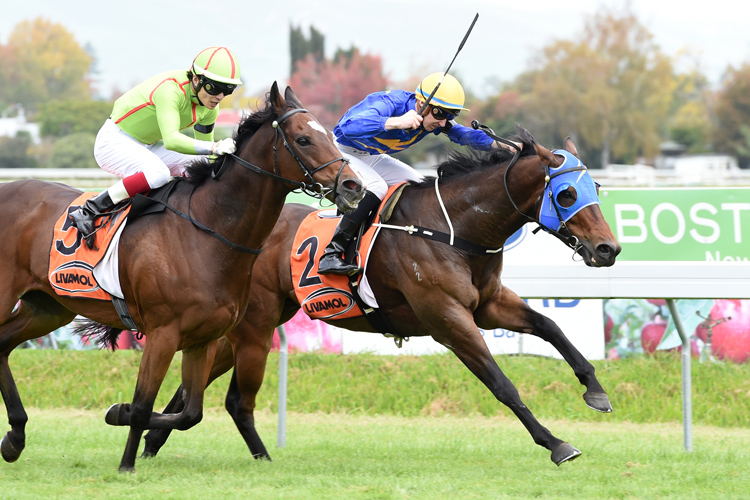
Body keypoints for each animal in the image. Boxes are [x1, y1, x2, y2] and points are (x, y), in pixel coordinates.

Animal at [0, 82, 364, 472]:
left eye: (329, 135)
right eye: (303, 139)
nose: (353, 186)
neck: (208, 229)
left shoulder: (203, 338)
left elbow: (191, 413)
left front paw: (120, 415)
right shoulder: (163, 332)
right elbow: (143, 405)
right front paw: (126, 461)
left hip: (48, 307)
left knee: (2, 344)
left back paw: (15, 437)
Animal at [144, 127, 624, 466]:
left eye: (597, 189)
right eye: (566, 193)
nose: (609, 249)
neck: (455, 228)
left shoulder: (487, 305)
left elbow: (550, 326)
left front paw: (596, 391)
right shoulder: (448, 319)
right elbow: (501, 383)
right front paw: (556, 443)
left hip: (257, 321)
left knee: (198, 383)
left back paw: (150, 440)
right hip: (256, 322)